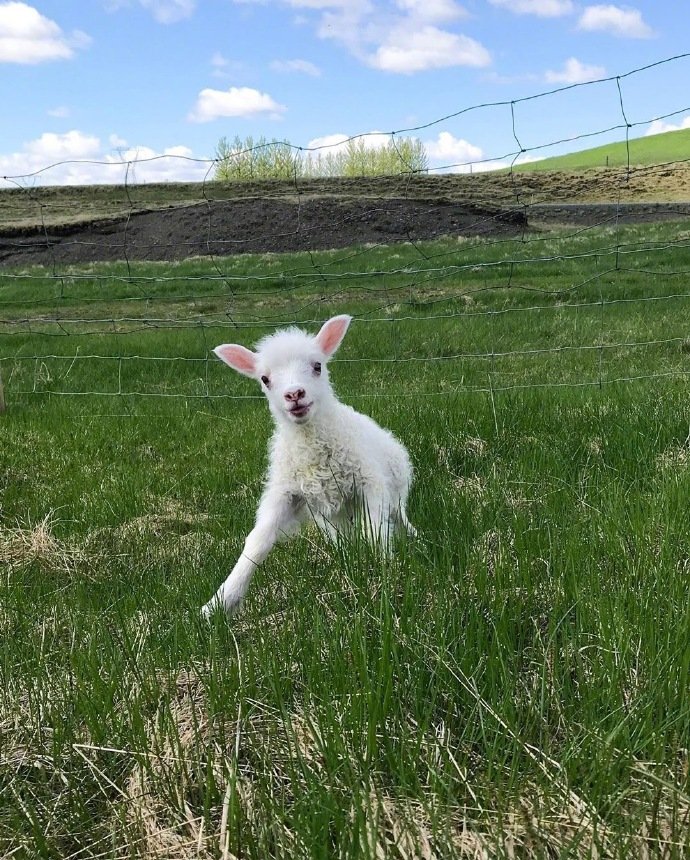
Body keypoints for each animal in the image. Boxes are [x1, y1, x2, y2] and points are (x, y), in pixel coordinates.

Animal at [200, 316, 414, 620]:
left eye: (317, 366)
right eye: (265, 379)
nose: (294, 394)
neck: (312, 446)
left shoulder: (369, 480)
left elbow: (375, 529)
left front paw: (383, 573)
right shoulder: (286, 491)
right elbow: (258, 541)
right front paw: (218, 603)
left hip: (395, 490)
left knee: (397, 517)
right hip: (327, 514)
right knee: (343, 536)